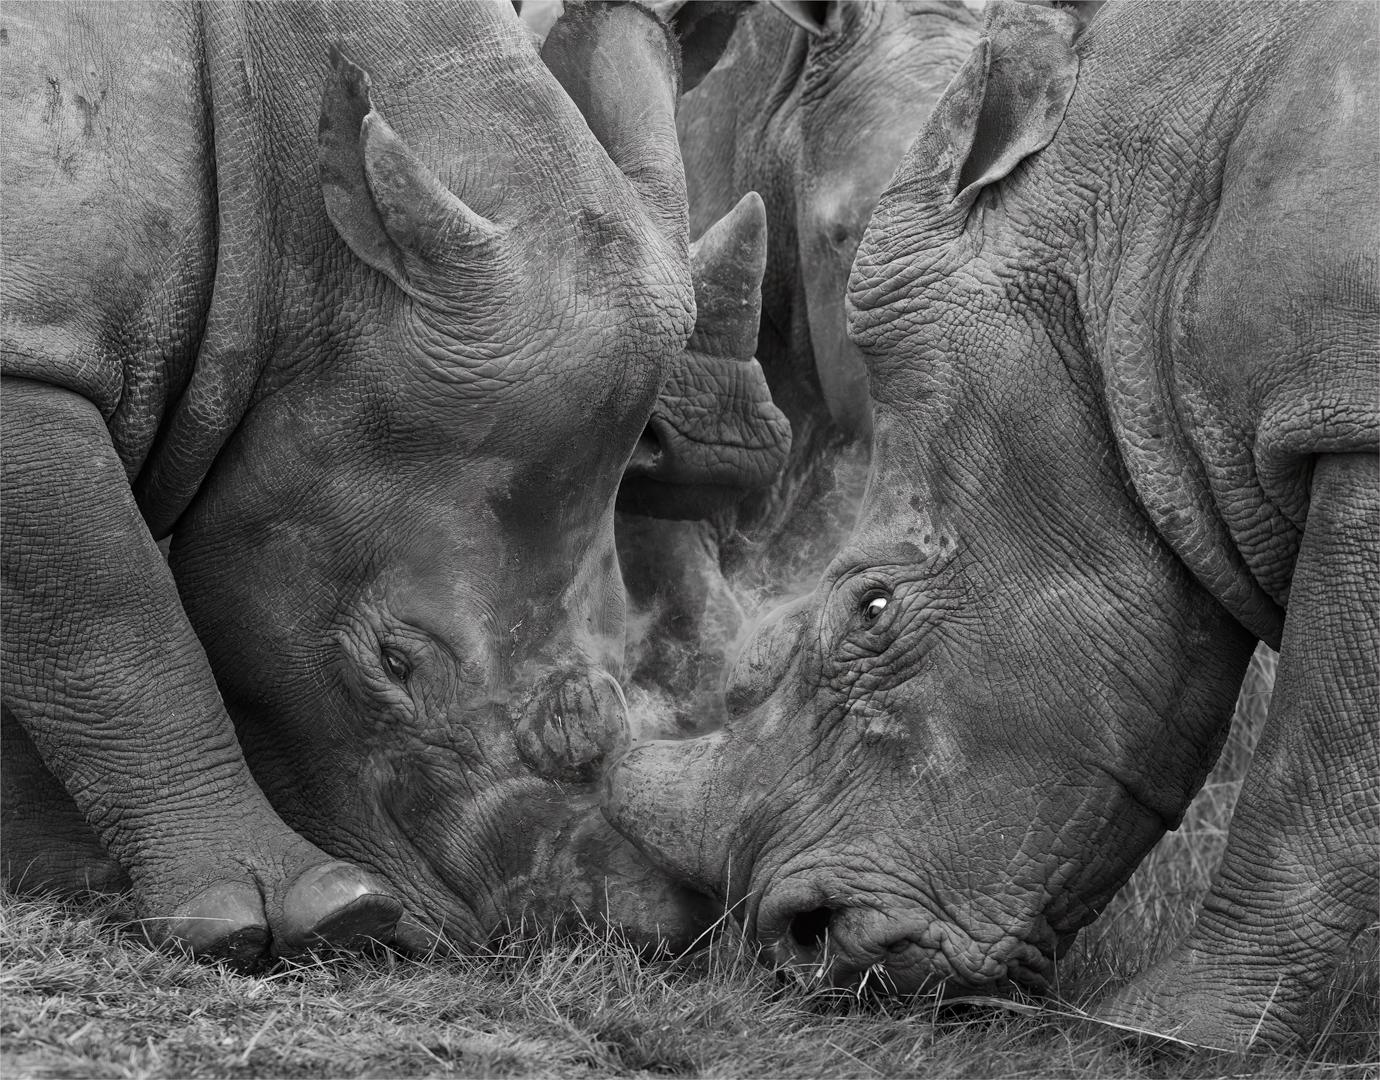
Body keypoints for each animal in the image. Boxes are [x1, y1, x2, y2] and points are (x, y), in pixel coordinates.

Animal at [606, 0, 1377, 1050]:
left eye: (873, 607)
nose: (804, 945)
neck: (1135, 253)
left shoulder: (1351, 422)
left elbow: (1314, 769)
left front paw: (1164, 1035)